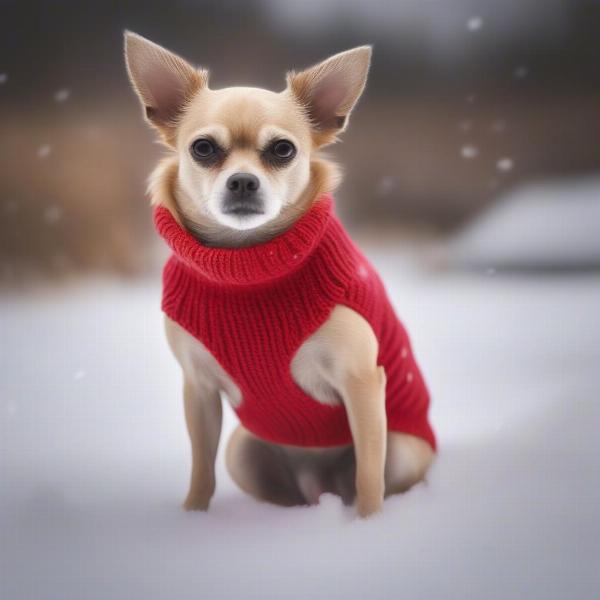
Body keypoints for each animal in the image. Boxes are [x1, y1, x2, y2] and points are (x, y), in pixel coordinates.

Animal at [125, 31, 436, 516]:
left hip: (402, 447)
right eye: (203, 148)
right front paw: (193, 517)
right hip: (242, 452)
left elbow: (369, 474)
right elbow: (200, 470)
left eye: (282, 150)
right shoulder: (199, 390)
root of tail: (320, 485)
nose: (242, 181)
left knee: (371, 475)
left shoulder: (363, 384)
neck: (248, 265)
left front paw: (370, 525)